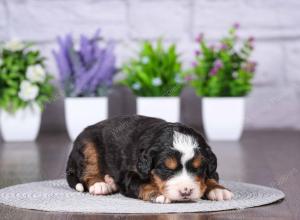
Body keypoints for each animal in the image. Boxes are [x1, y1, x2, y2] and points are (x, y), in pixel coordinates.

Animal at [67, 115, 233, 203]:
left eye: (198, 168)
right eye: (167, 169)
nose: (186, 191)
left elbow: (211, 177)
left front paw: (218, 190)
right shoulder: (131, 173)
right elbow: (143, 183)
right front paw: (159, 193)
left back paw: (110, 182)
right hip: (88, 145)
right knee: (88, 171)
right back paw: (100, 185)